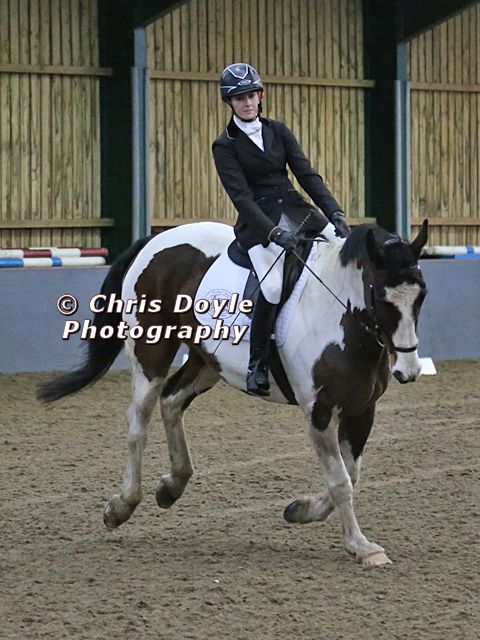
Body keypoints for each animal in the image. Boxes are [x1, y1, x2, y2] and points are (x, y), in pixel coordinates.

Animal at [38, 220, 428, 566]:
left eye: (421, 295)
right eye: (381, 295)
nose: (408, 371)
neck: (342, 318)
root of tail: (156, 239)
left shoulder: (362, 410)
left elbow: (352, 475)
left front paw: (300, 510)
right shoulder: (318, 412)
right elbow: (340, 481)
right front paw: (361, 547)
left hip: (207, 360)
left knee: (172, 400)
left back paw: (172, 485)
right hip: (152, 351)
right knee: (139, 420)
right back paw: (122, 506)